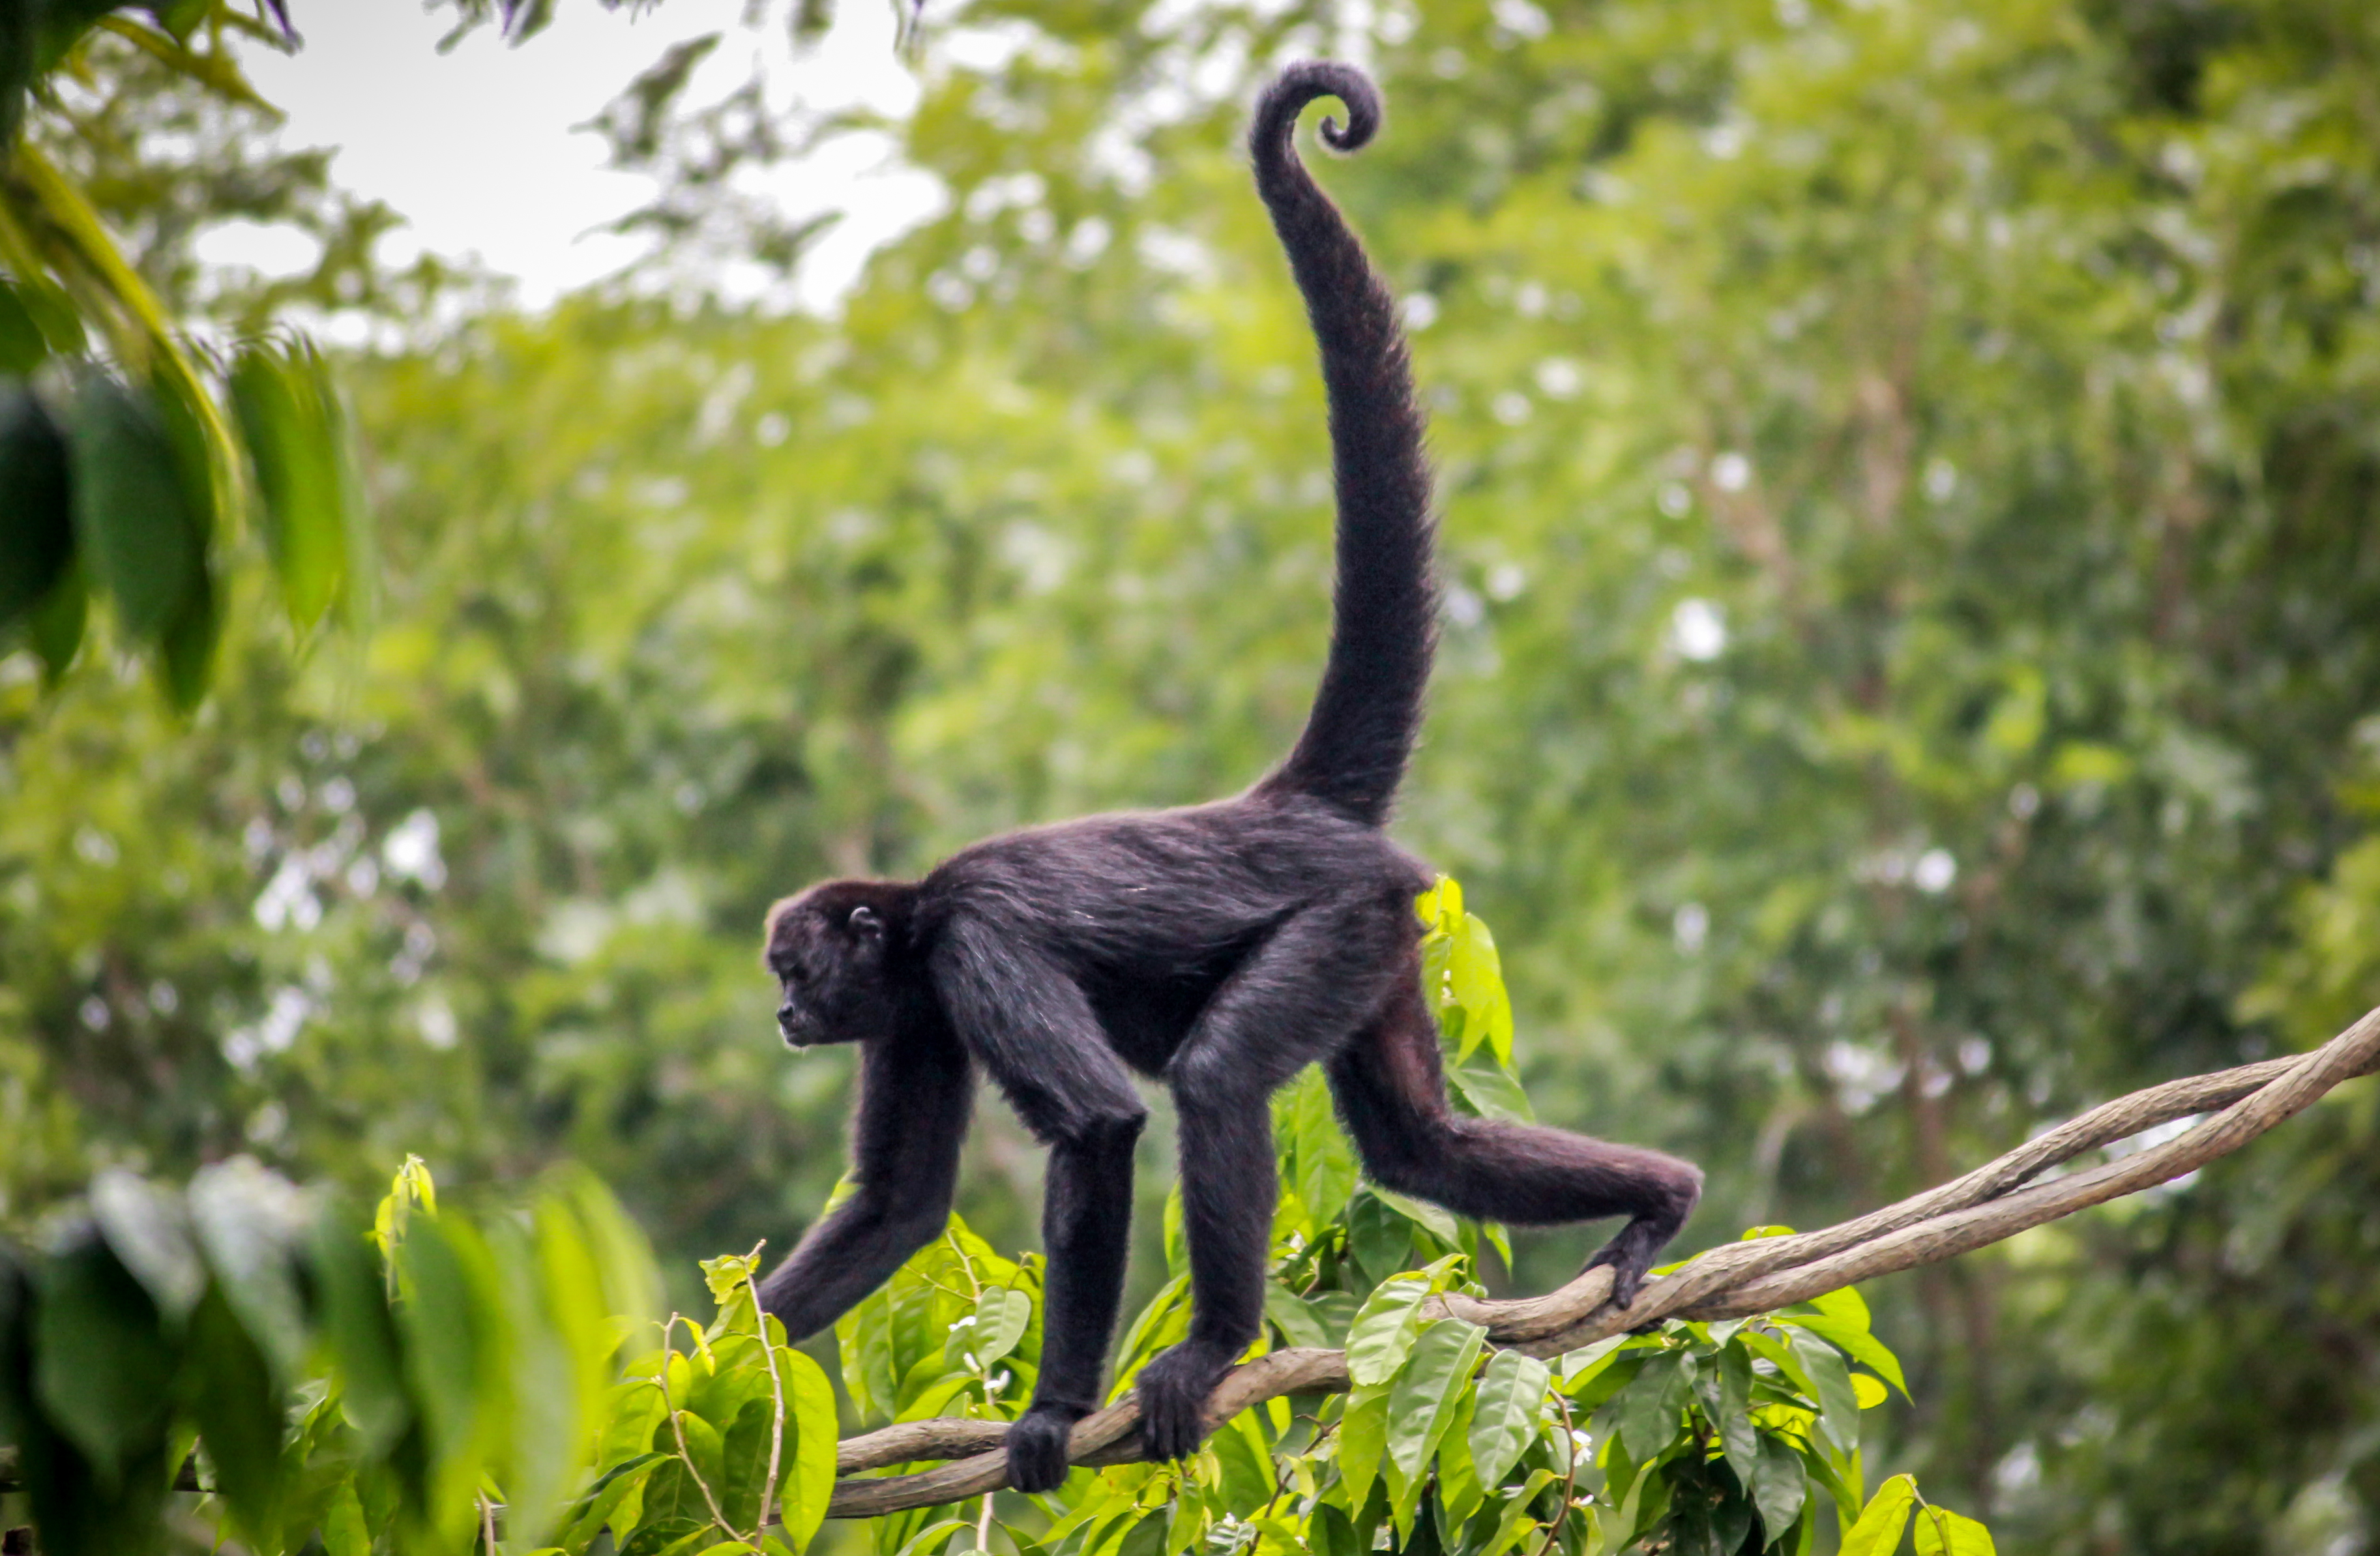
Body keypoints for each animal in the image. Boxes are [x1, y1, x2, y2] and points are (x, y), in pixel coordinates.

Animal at [752, 61, 1704, 1503]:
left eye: (793, 965)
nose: (785, 1012)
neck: (913, 923)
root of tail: (1283, 810)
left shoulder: (973, 949)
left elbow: (1098, 1124)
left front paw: (1053, 1408)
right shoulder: (916, 1006)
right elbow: (898, 1205)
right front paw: (686, 1360)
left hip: (1336, 921)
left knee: (1214, 1078)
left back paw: (1212, 1346)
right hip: (1385, 941)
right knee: (1422, 1143)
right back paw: (1662, 1194)